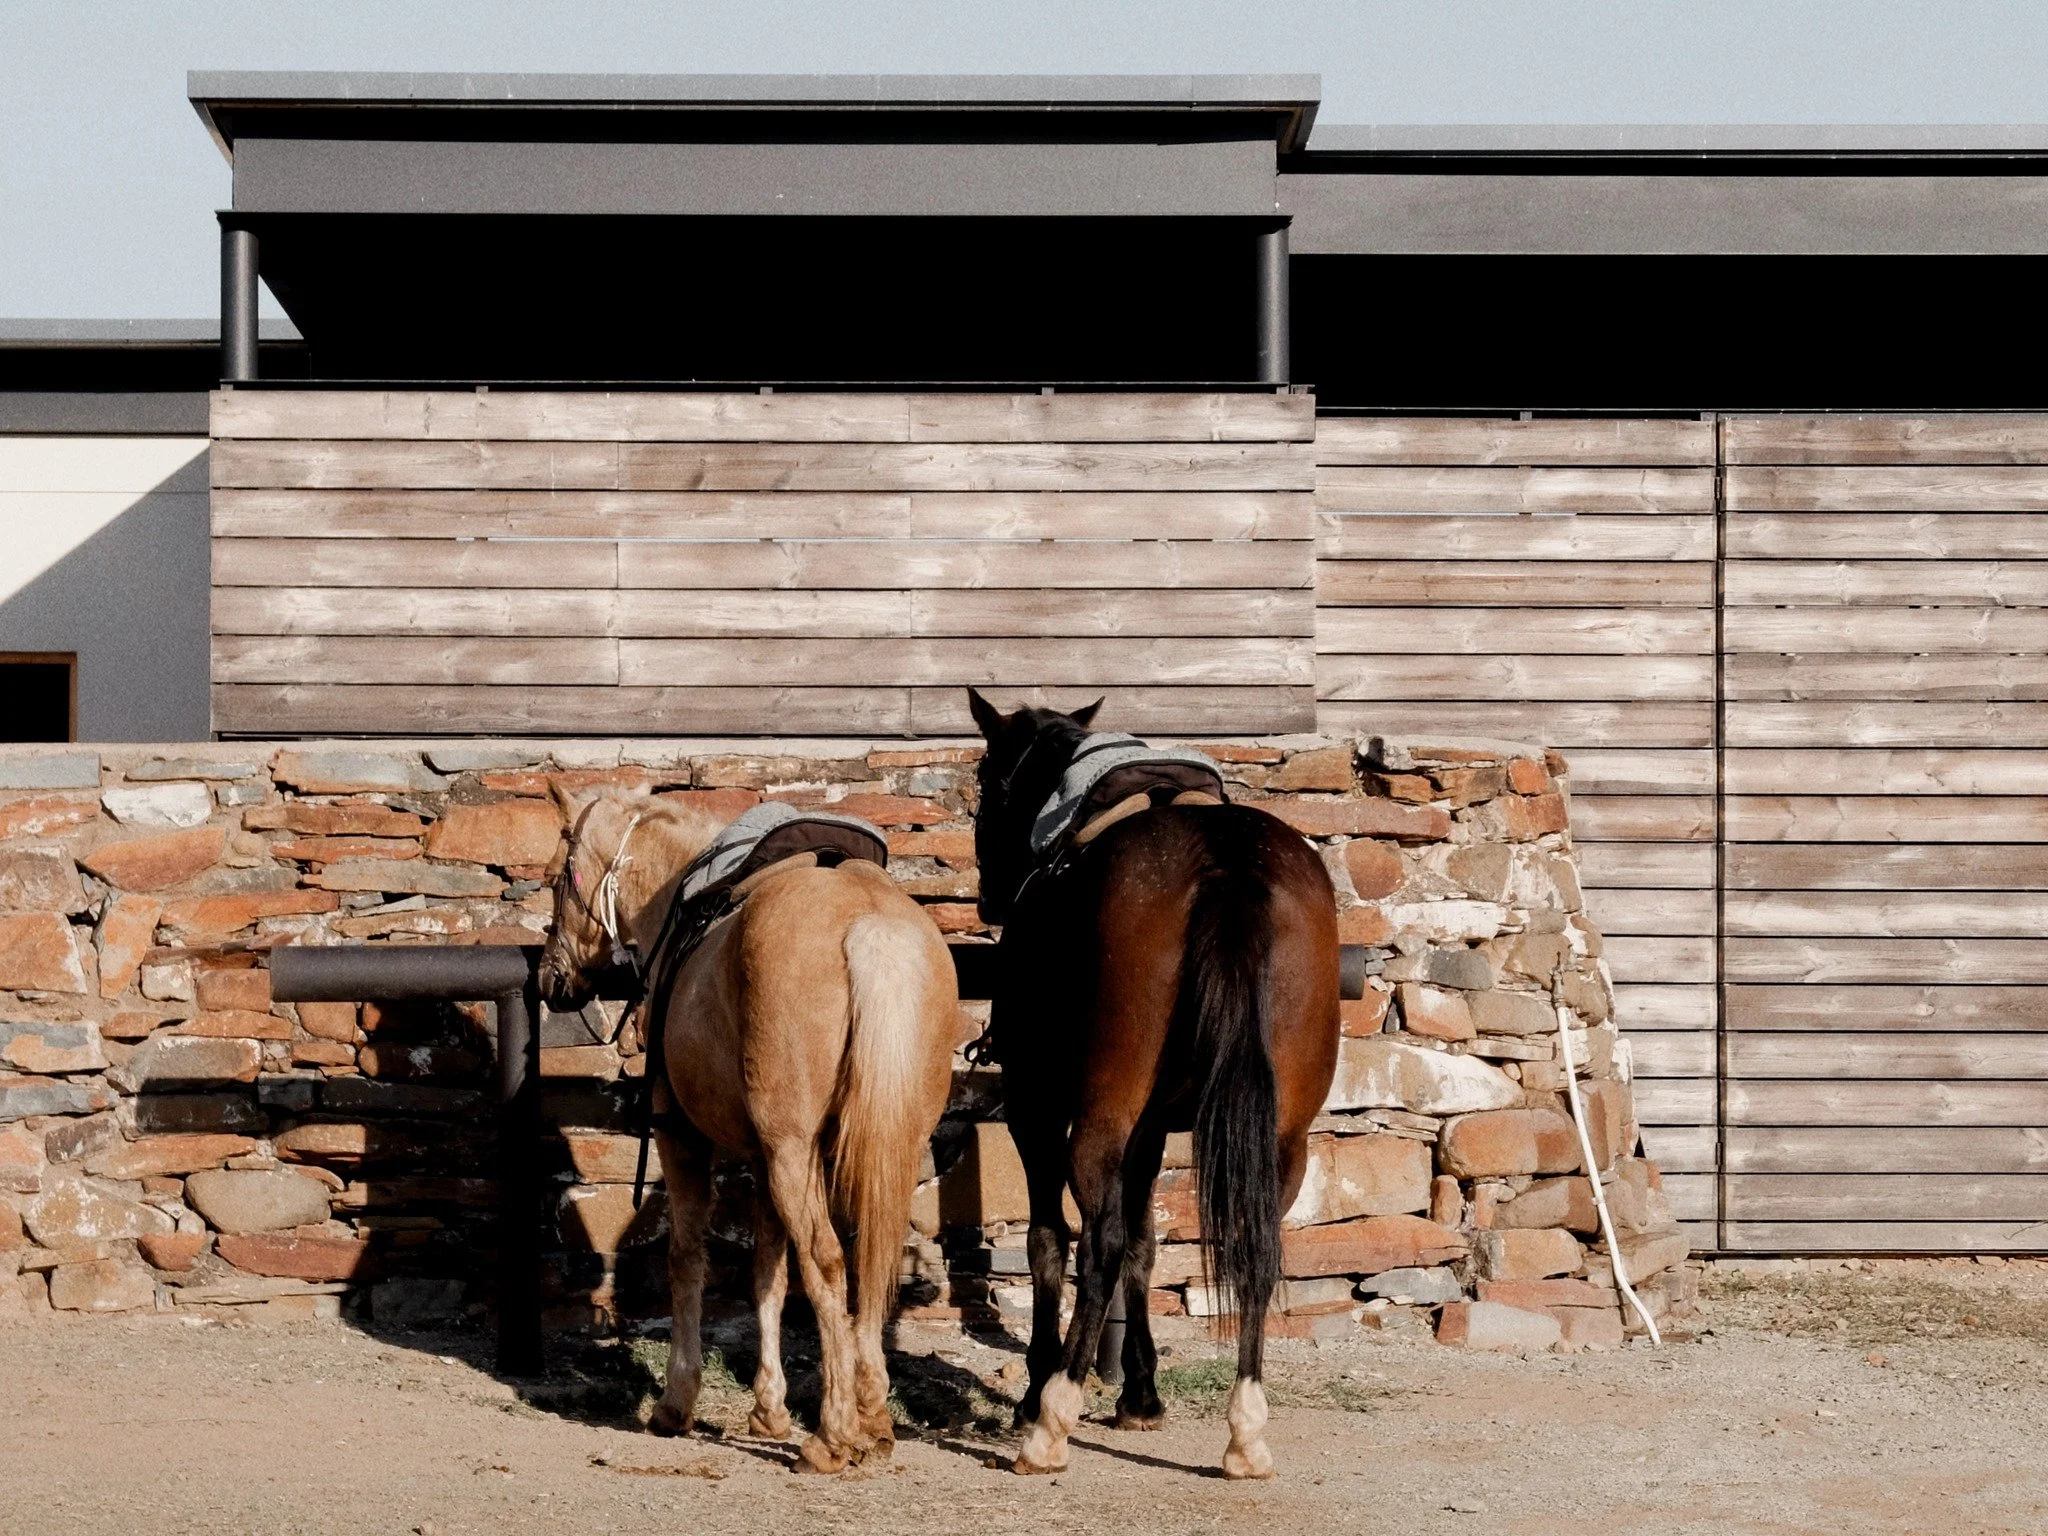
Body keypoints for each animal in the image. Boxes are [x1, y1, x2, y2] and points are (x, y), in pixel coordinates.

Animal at [538, 788, 960, 1473]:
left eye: (556, 878)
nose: (551, 978)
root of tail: (871, 927)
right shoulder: (767, 1158)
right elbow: (769, 1267)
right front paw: (769, 1405)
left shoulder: (683, 1137)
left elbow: (689, 1257)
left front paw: (676, 1403)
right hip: (879, 1147)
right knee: (868, 1259)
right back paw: (872, 1415)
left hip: (791, 1152)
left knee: (827, 1262)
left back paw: (833, 1433)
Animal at [966, 691, 1341, 1480]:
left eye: (987, 781)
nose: (987, 895)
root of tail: (1228, 862)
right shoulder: (1150, 1131)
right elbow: (1144, 1242)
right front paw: (1141, 1392)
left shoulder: (1036, 1109)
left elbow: (1056, 1241)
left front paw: (1040, 1390)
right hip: (1281, 1137)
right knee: (1257, 1252)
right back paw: (1245, 1430)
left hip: (1099, 1116)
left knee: (1097, 1242)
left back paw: (1052, 1420)